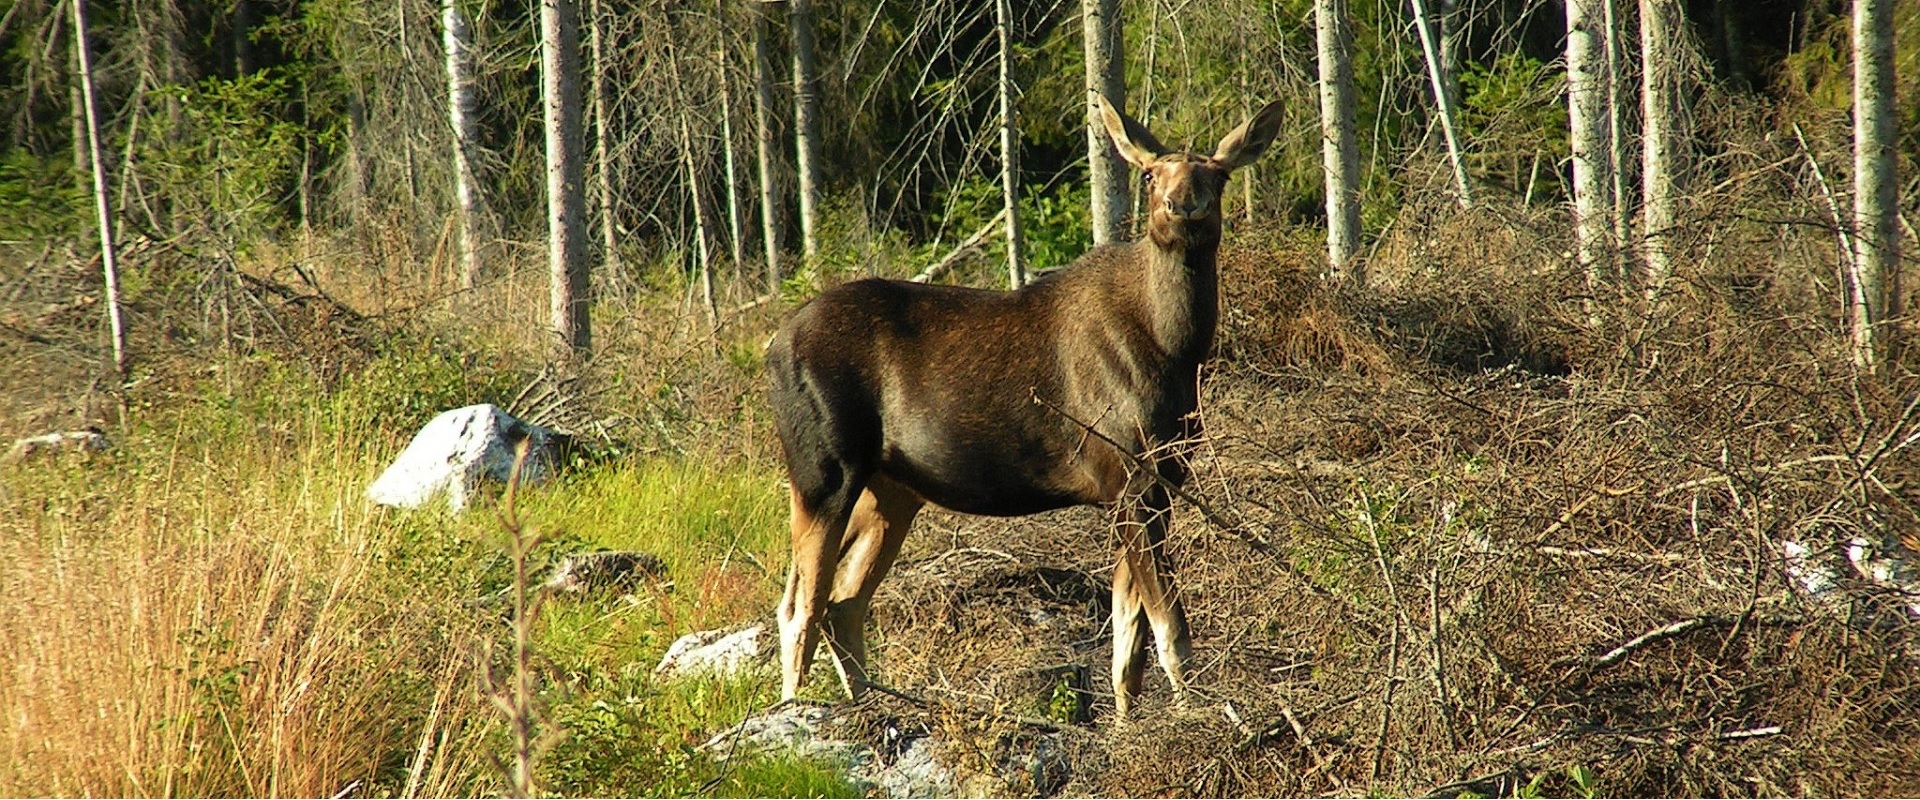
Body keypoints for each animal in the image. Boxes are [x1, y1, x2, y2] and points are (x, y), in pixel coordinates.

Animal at [768, 93, 1290, 717]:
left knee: (842, 601)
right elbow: (1169, 628)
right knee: (800, 606)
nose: (1183, 205)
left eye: (1220, 175)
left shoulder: (1156, 483)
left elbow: (1127, 642)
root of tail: (771, 346)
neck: (1177, 350)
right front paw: (1197, 717)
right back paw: (798, 712)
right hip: (823, 472)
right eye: (1148, 174)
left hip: (891, 490)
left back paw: (872, 706)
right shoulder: (1129, 478)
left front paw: (1128, 725)